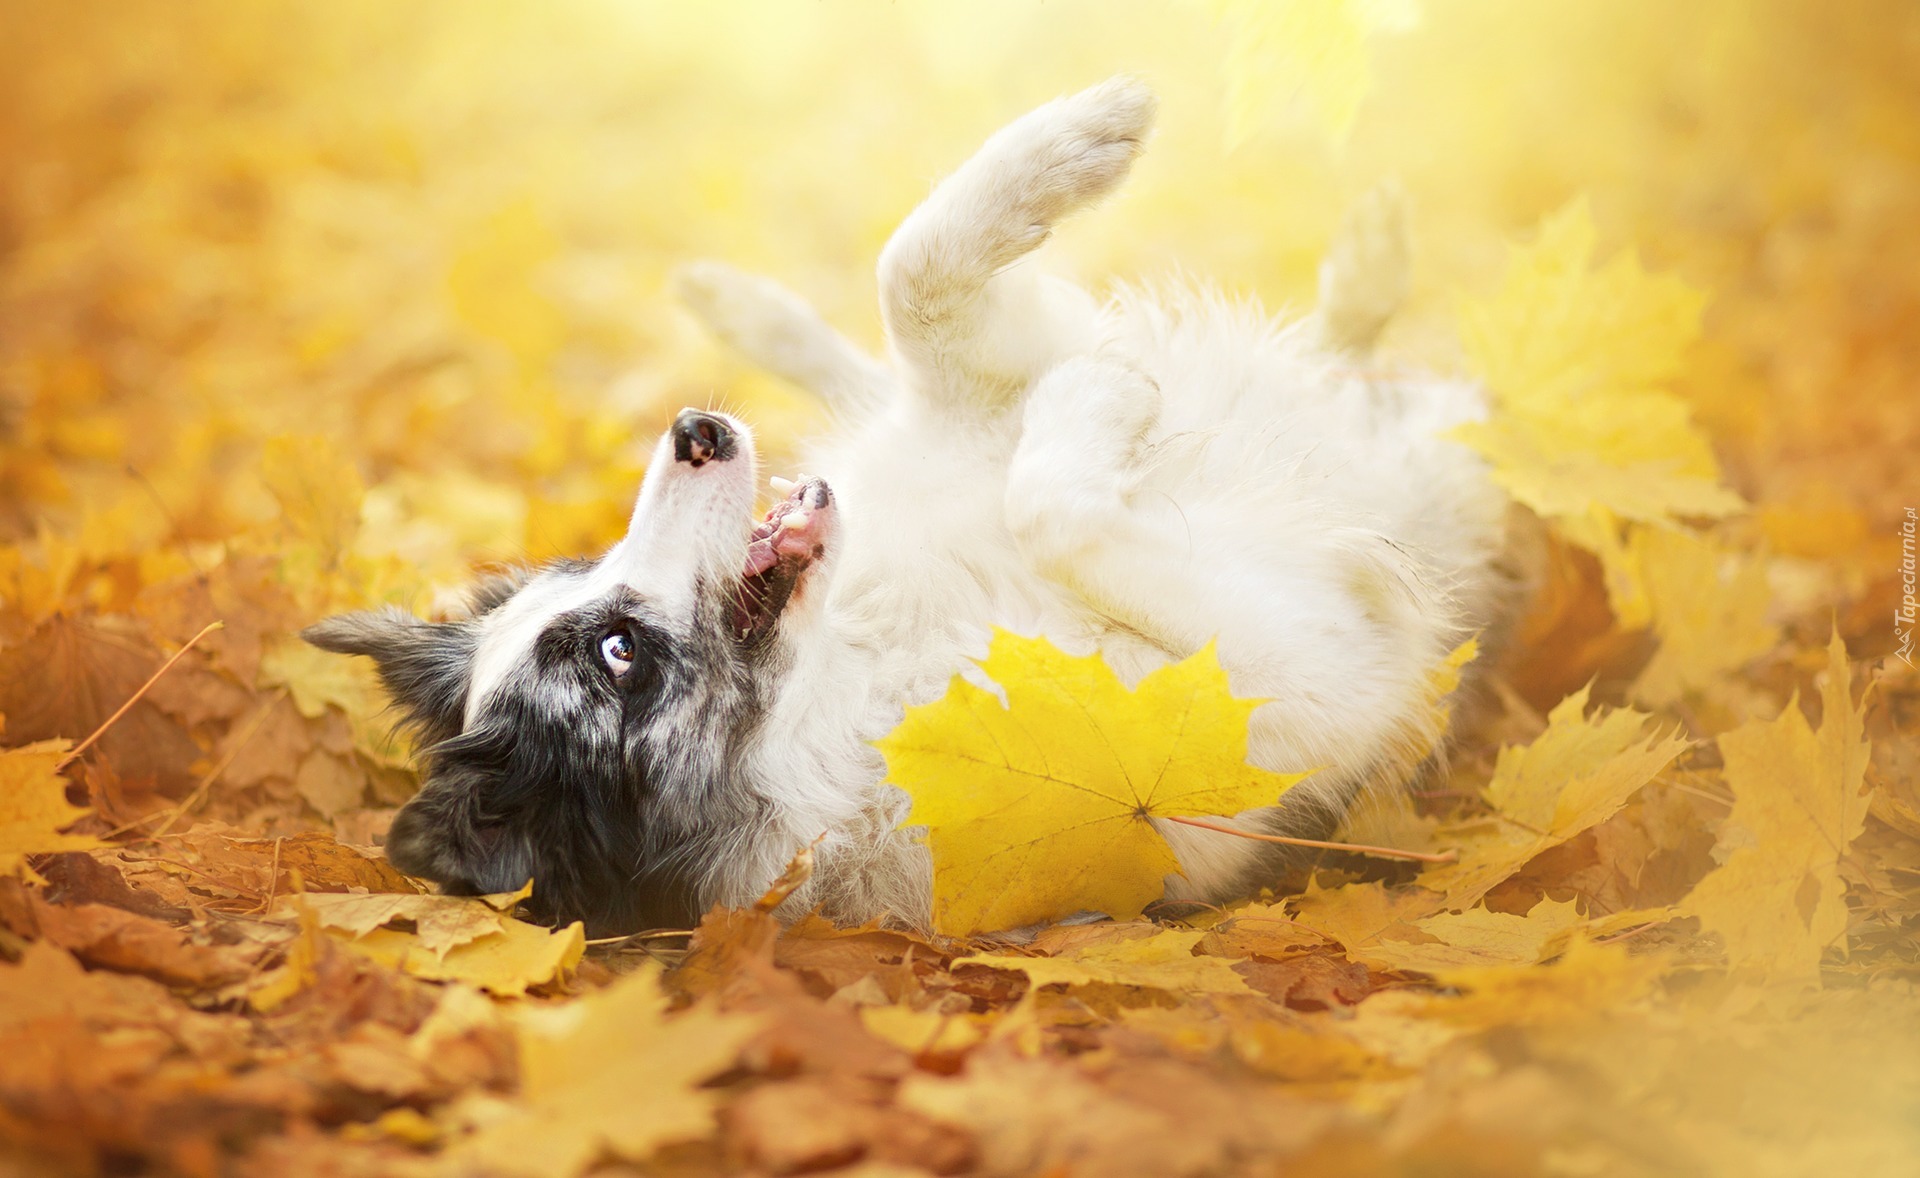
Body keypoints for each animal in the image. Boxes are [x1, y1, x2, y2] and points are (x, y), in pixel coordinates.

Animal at [307, 78, 1520, 936]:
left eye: (581, 566)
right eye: (618, 653)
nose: (693, 430)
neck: (867, 645)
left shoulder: (959, 401)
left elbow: (915, 271)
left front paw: (1073, 142)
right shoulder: (1297, 680)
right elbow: (1061, 508)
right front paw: (1097, 398)